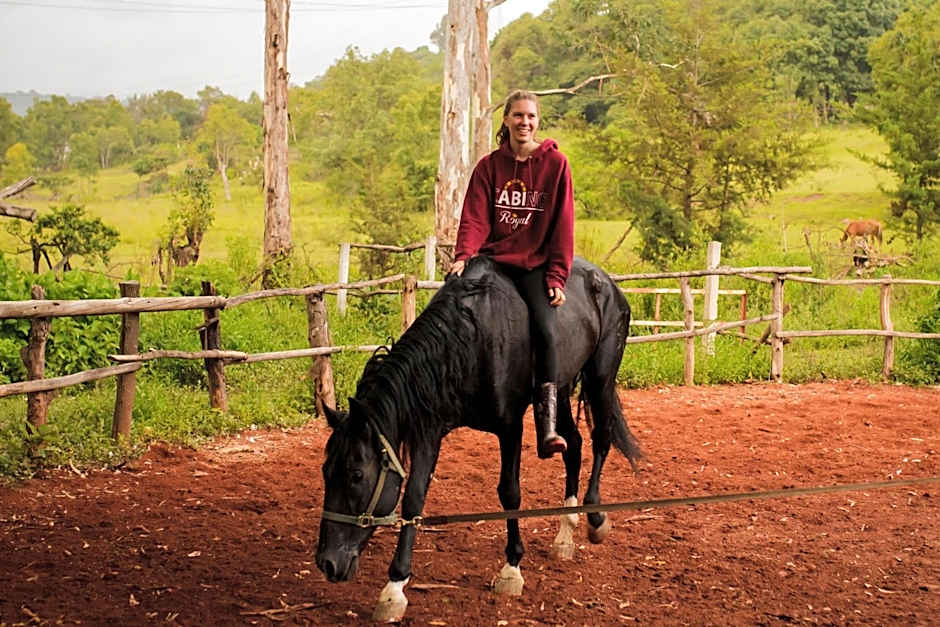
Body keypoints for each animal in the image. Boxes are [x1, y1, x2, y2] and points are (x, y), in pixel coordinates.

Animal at [315, 255, 641, 622]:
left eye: (356, 475)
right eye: (326, 472)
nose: (327, 563)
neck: (466, 342)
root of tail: (608, 284)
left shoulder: (510, 425)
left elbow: (510, 492)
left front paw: (511, 570)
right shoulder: (429, 428)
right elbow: (414, 498)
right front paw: (393, 590)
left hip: (601, 376)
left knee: (601, 439)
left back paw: (595, 517)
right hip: (561, 385)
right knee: (573, 446)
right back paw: (565, 533)